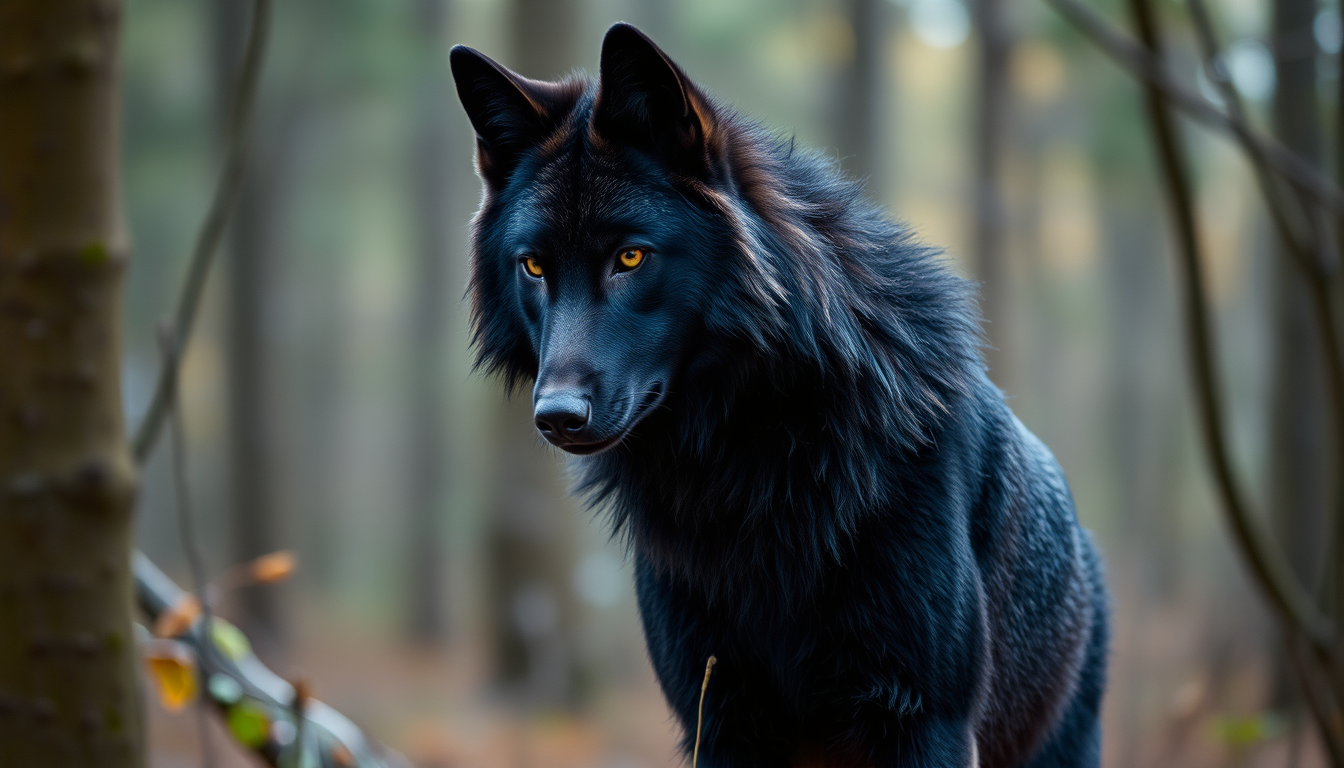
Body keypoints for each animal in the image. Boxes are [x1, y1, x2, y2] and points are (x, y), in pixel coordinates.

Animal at [449, 22, 1107, 768]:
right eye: (534, 266)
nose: (557, 416)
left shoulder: (925, 718)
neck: (751, 462)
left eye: (631, 258)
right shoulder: (717, 714)